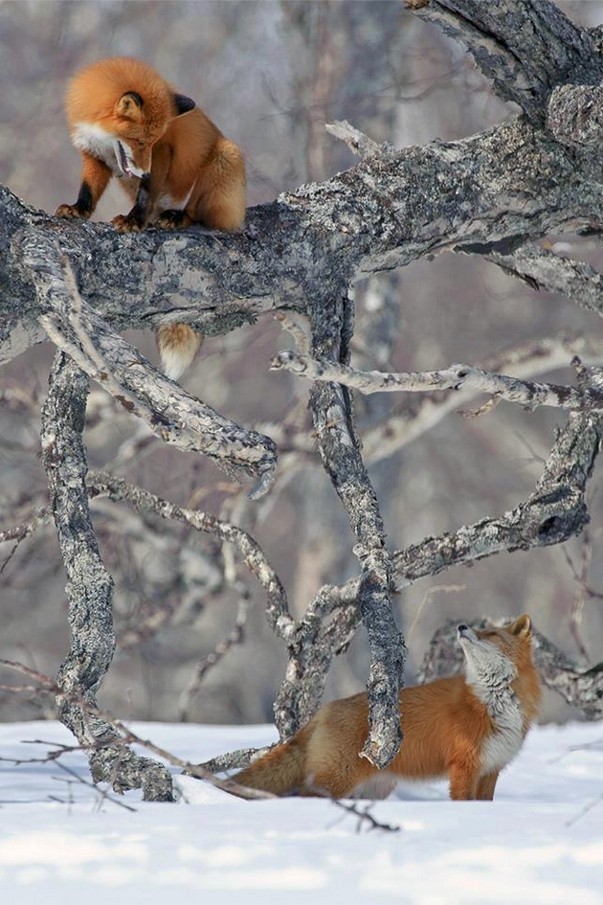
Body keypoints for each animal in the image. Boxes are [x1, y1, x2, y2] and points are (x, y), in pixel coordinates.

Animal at [54, 55, 247, 382]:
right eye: (139, 140)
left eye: (152, 141)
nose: (142, 173)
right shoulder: (92, 156)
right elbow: (88, 191)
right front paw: (78, 210)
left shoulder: (165, 151)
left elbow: (146, 196)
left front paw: (134, 222)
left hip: (224, 157)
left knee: (198, 213)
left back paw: (176, 217)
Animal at [232, 616, 544, 800]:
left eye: (490, 633)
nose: (461, 627)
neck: (493, 703)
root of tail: (324, 710)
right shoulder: (464, 766)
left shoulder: (491, 768)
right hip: (335, 781)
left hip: (371, 789)